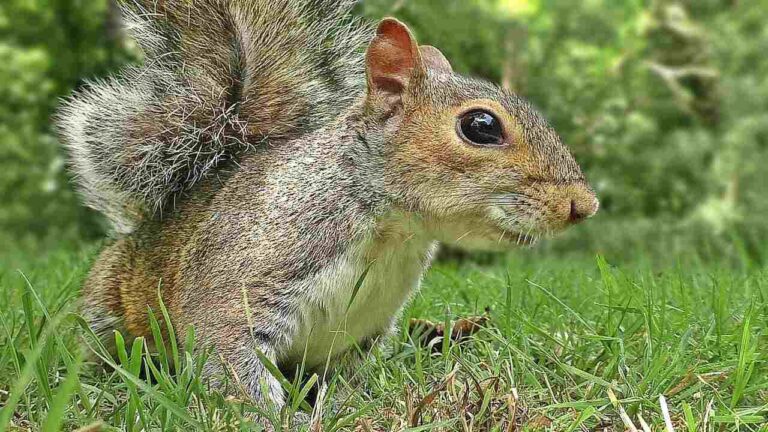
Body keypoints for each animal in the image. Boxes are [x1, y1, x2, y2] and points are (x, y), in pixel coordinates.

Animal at [57, 0, 598, 409]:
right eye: (480, 126)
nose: (583, 206)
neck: (389, 232)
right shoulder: (243, 281)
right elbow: (228, 355)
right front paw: (278, 417)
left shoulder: (361, 331)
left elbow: (341, 381)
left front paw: (344, 407)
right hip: (108, 312)